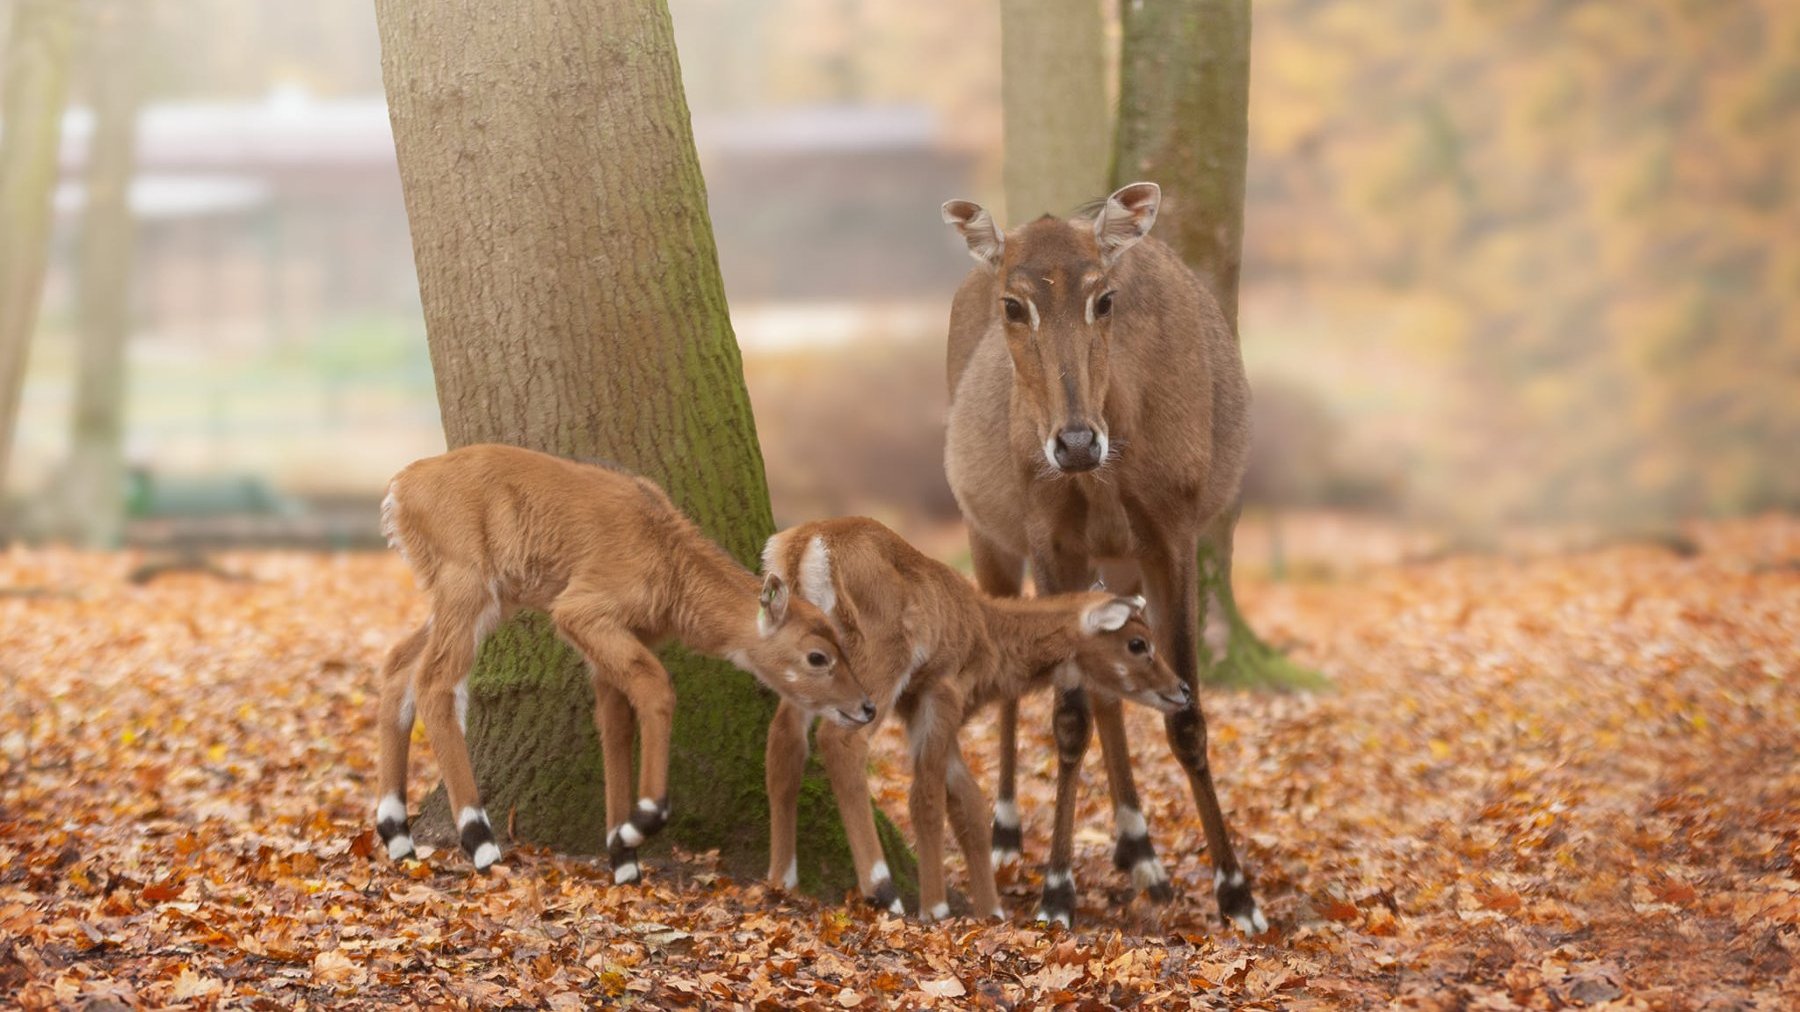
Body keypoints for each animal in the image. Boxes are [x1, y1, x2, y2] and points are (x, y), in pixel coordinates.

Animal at [372, 441, 871, 875]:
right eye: (817, 656)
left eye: (844, 645)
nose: (865, 706)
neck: (668, 560)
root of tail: (401, 486)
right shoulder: (581, 612)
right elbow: (655, 688)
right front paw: (640, 822)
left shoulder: (616, 640)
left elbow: (615, 724)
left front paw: (623, 857)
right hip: (468, 589)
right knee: (436, 682)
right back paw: (481, 842)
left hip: (481, 601)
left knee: (398, 663)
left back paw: (397, 834)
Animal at [763, 515, 1195, 918]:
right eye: (1138, 644)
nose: (1183, 689)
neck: (989, 640)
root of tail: (807, 546)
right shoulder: (941, 690)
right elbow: (928, 796)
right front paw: (936, 907)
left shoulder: (917, 709)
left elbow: (969, 802)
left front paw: (991, 912)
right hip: (879, 654)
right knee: (841, 741)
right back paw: (882, 887)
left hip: (811, 671)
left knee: (784, 735)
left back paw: (781, 878)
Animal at [943, 182, 1267, 929]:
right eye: (1014, 304)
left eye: (1104, 297)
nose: (1074, 443)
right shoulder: (1048, 534)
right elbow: (1067, 717)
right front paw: (1057, 890)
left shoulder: (1171, 530)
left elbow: (1186, 712)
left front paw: (1237, 892)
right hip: (987, 531)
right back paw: (1009, 832)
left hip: (1113, 560)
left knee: (1111, 680)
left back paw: (1140, 849)